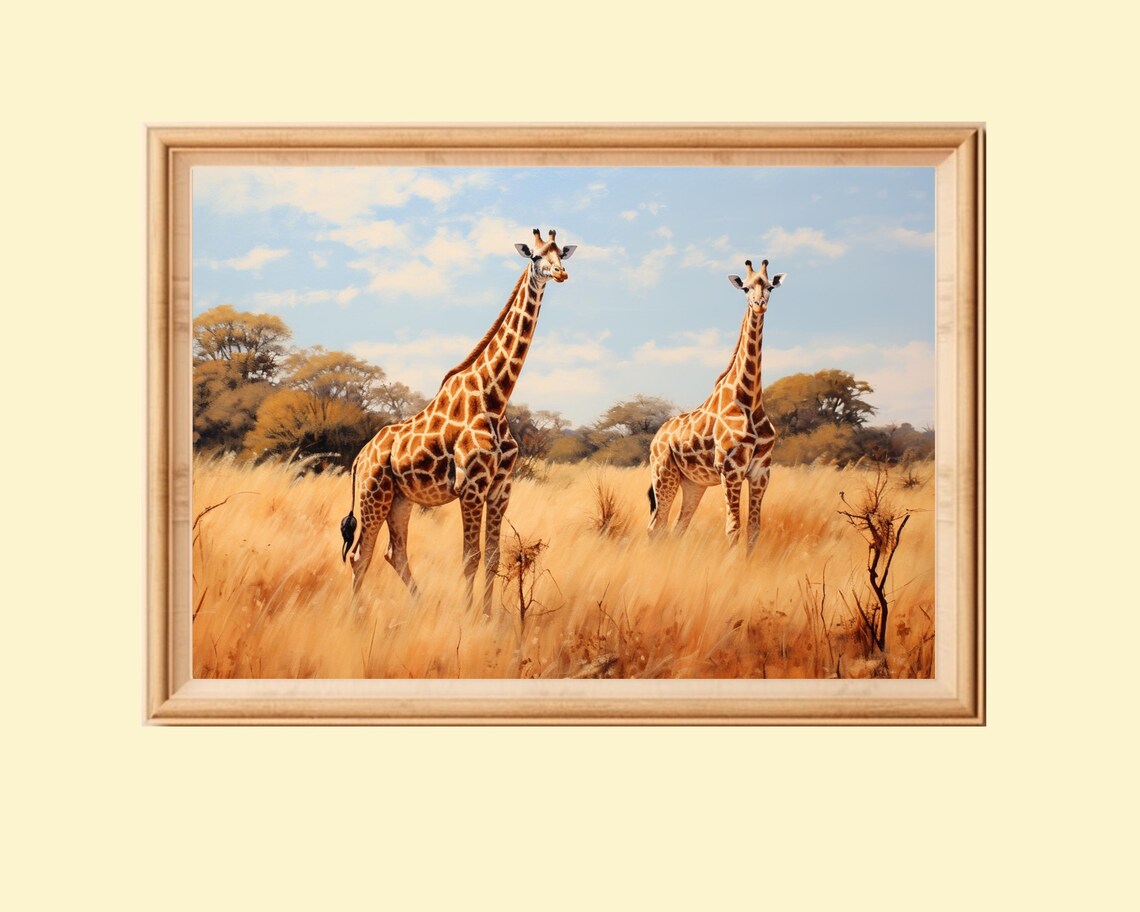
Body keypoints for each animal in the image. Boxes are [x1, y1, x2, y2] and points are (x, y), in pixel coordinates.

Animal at [339, 229, 576, 616]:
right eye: (535, 256)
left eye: (560, 254)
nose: (560, 273)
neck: (495, 397)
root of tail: (360, 456)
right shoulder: (472, 487)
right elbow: (470, 557)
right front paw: (468, 617)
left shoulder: (501, 488)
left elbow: (492, 556)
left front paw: (488, 616)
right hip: (373, 495)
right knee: (362, 554)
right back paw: (357, 615)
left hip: (401, 500)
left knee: (393, 552)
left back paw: (420, 607)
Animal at [647, 258, 786, 551]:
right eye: (745, 288)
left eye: (769, 286)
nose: (759, 304)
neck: (749, 399)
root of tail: (656, 438)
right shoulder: (731, 470)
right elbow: (733, 529)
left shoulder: (761, 471)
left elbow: (754, 528)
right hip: (663, 473)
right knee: (656, 526)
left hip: (692, 483)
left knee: (678, 527)